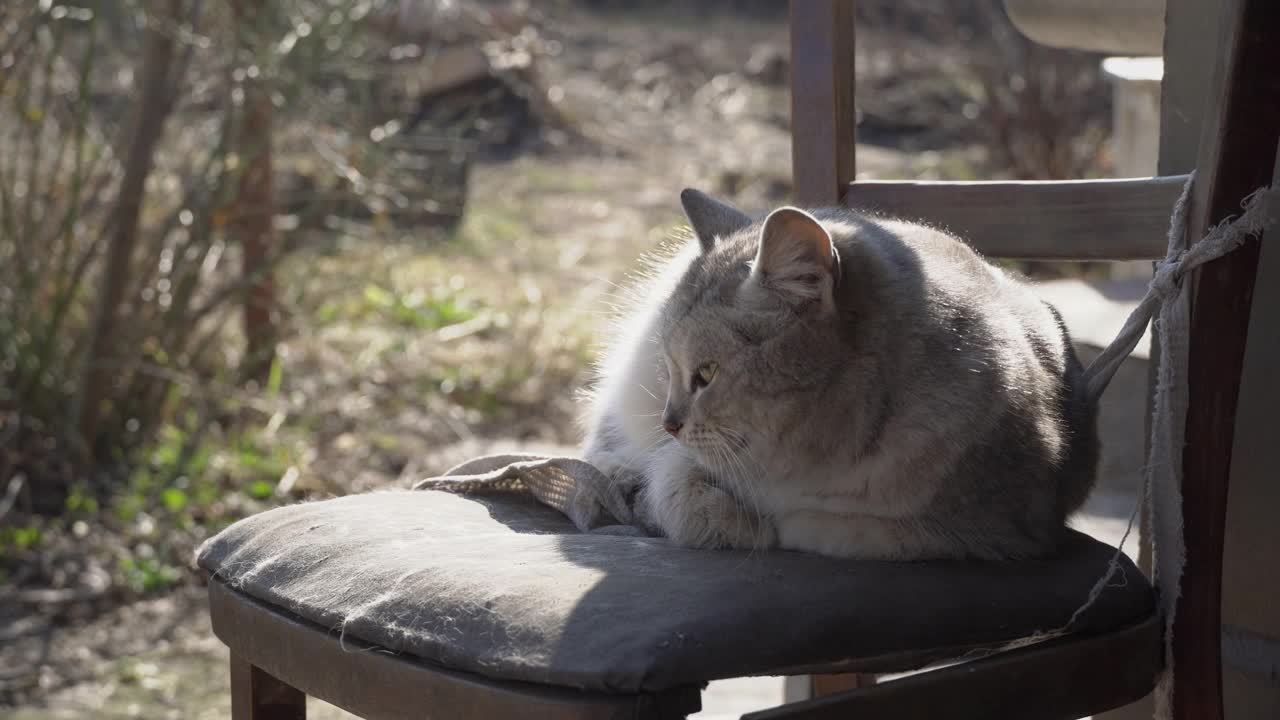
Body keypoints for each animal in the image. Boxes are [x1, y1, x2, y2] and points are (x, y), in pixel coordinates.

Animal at [583, 189, 1100, 561]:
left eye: (707, 373)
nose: (669, 424)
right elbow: (678, 485)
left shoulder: (1008, 530)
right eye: (674, 368)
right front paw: (719, 516)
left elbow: (832, 528)